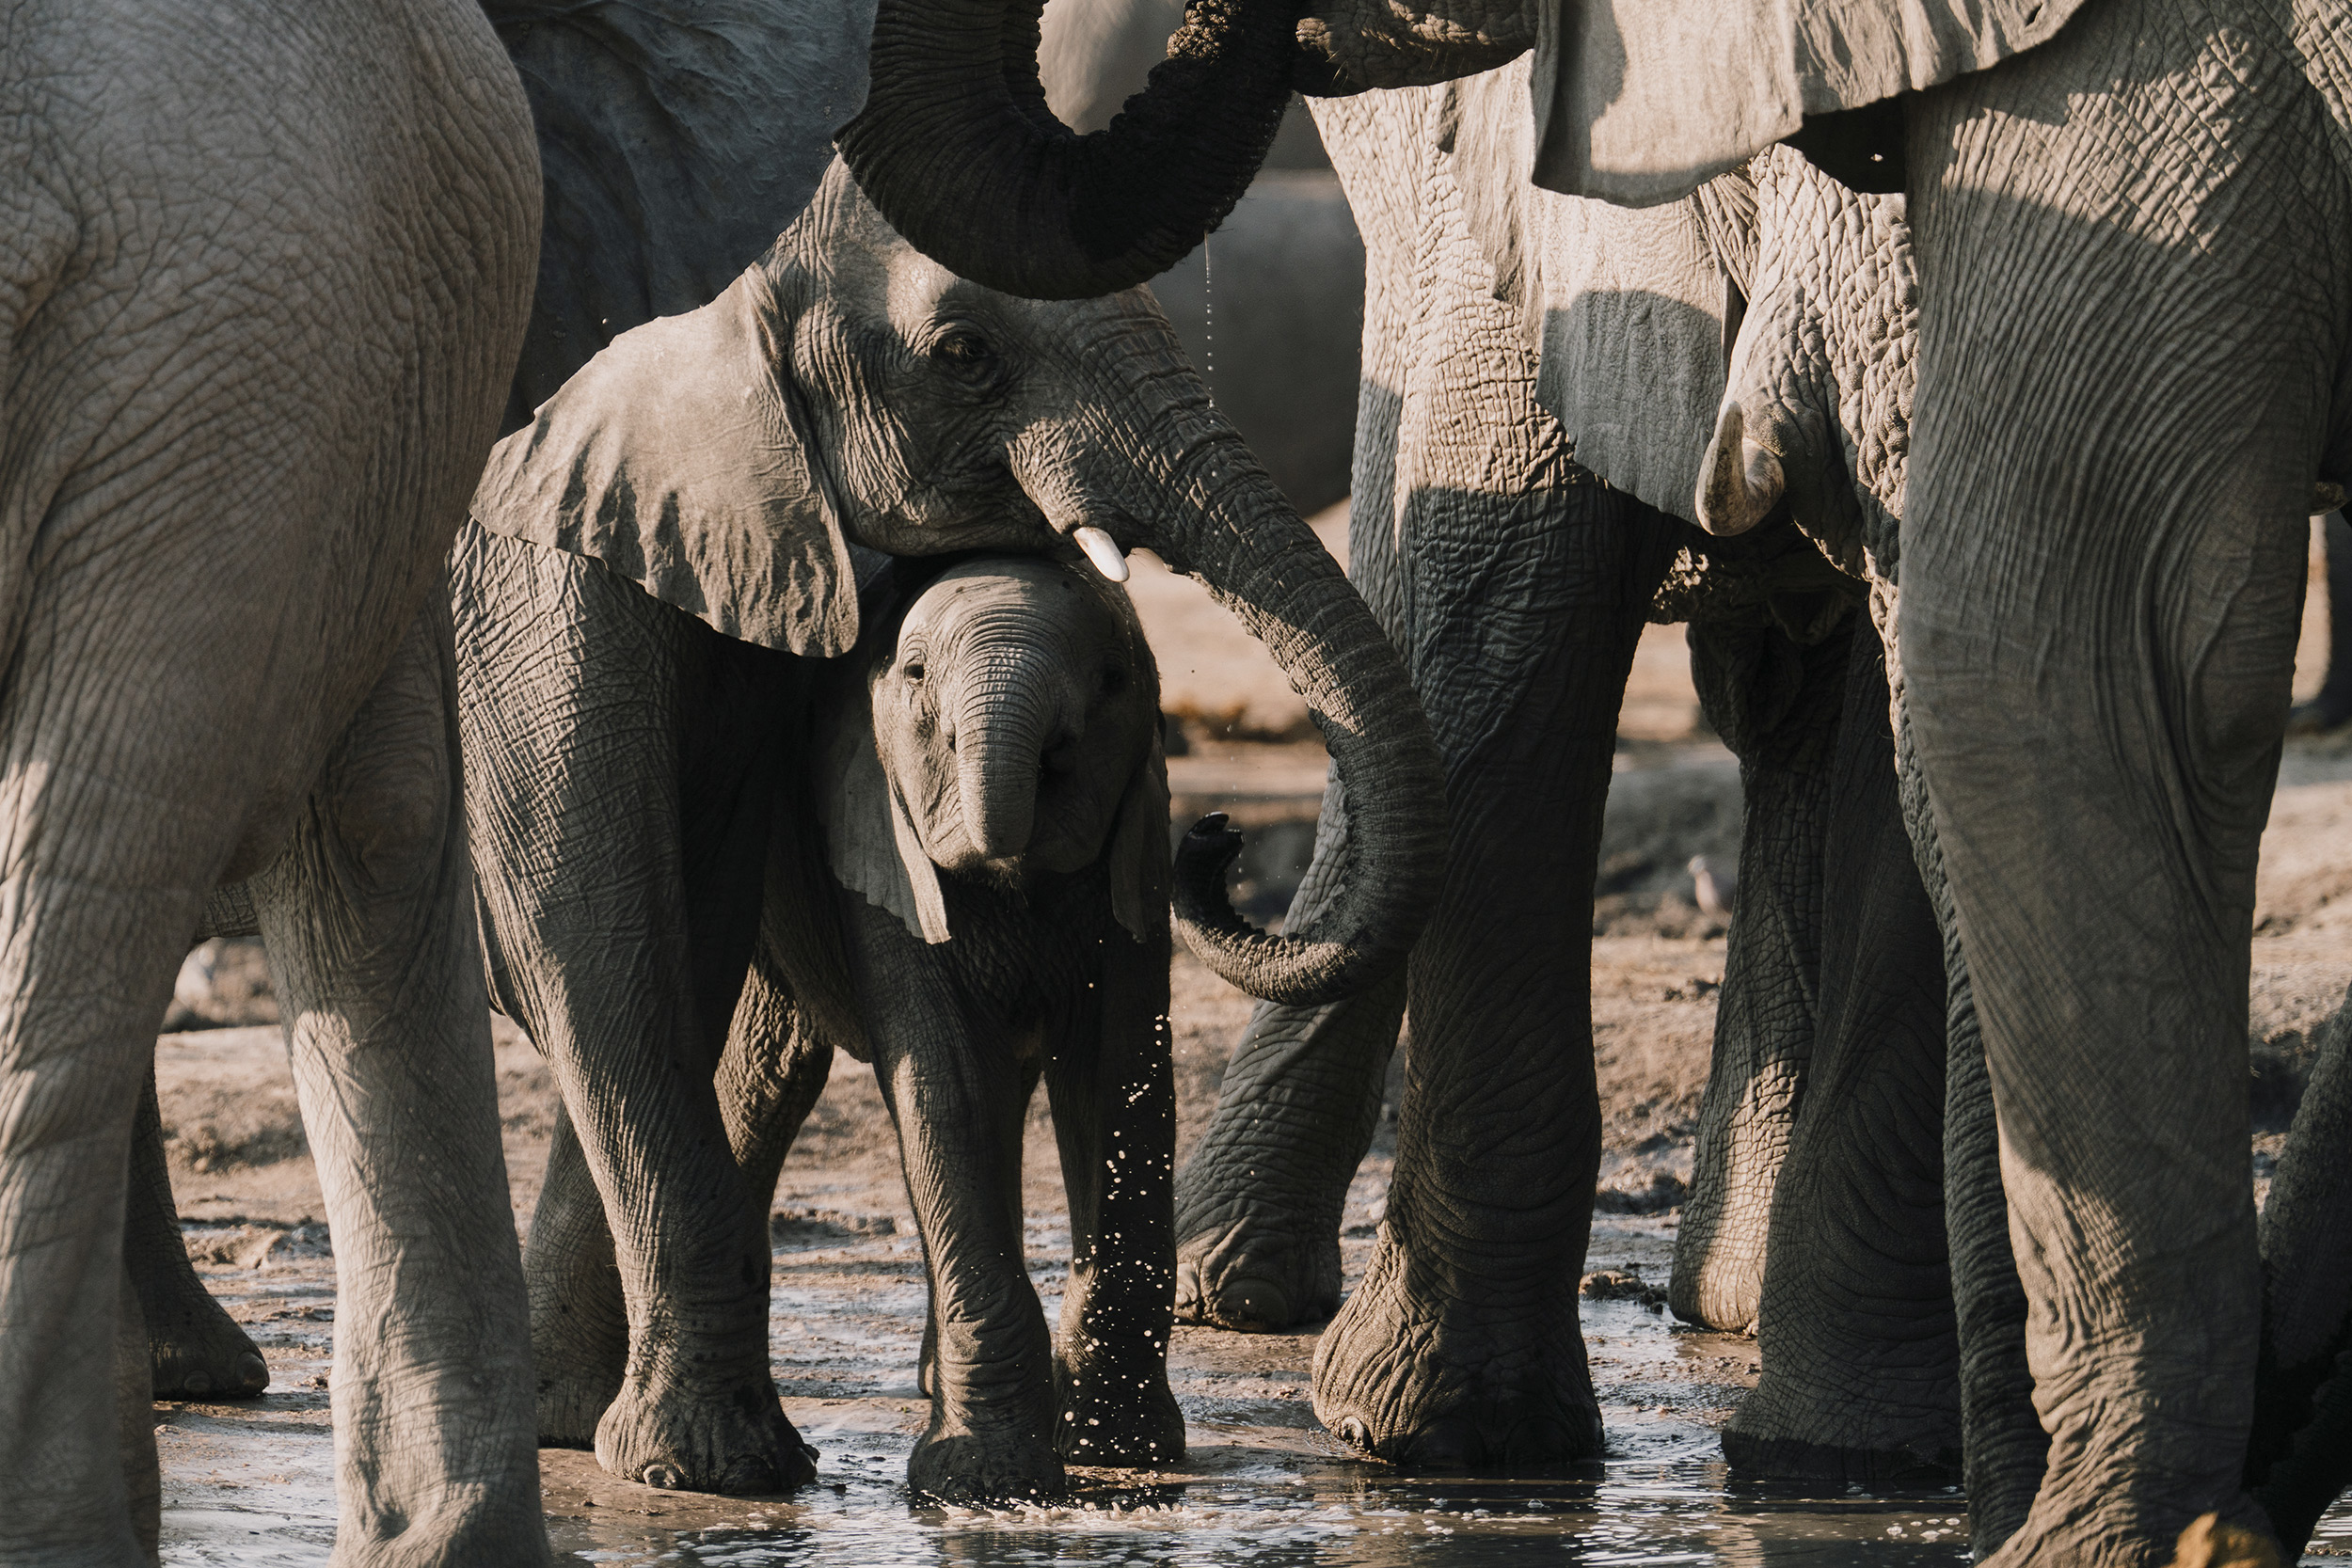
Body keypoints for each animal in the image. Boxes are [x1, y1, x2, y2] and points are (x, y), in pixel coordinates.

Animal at [838, 0, 2352, 1558]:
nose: (1212, 843)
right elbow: (1500, 603)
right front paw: (1441, 1439)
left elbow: (1946, 700)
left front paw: (1836, 1455)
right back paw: (1239, 1287)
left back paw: (1740, 1319)